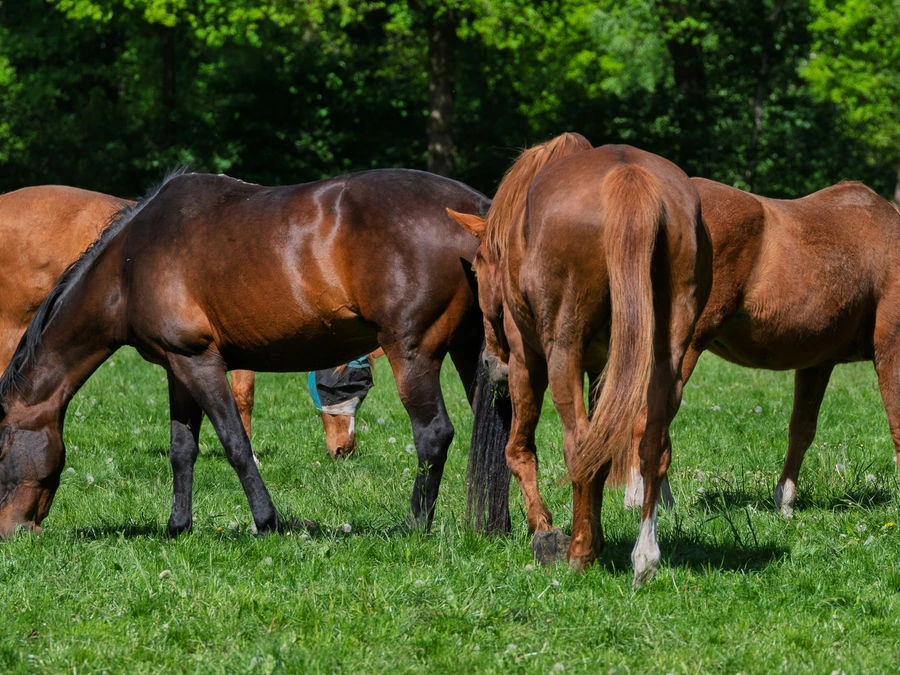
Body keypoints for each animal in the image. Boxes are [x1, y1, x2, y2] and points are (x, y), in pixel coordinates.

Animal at [451, 133, 712, 585]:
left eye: (480, 267)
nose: (489, 363)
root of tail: (630, 179)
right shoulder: (603, 371)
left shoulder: (526, 364)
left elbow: (520, 450)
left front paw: (545, 531)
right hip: (666, 357)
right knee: (651, 446)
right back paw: (643, 557)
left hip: (560, 357)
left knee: (577, 444)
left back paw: (577, 552)